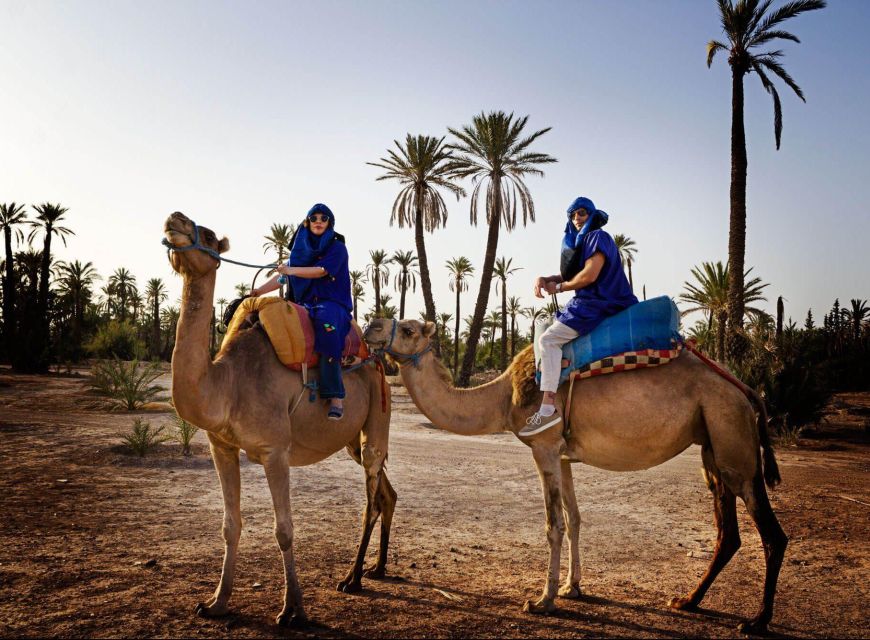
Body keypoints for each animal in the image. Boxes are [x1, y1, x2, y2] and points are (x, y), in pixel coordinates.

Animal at [163, 211, 396, 624]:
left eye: (207, 233)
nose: (175, 218)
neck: (227, 383)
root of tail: (378, 362)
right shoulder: (221, 447)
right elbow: (230, 526)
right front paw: (216, 602)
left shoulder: (275, 450)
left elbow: (284, 530)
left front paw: (292, 609)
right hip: (353, 441)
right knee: (387, 493)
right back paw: (377, 569)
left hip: (377, 419)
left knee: (371, 499)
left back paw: (351, 579)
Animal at [364, 318, 788, 632]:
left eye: (408, 329)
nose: (370, 325)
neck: (500, 398)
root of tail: (746, 390)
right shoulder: (564, 456)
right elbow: (574, 518)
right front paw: (572, 587)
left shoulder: (544, 447)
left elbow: (553, 524)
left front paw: (542, 600)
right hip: (712, 445)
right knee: (728, 533)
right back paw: (688, 601)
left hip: (733, 441)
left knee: (771, 533)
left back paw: (757, 620)